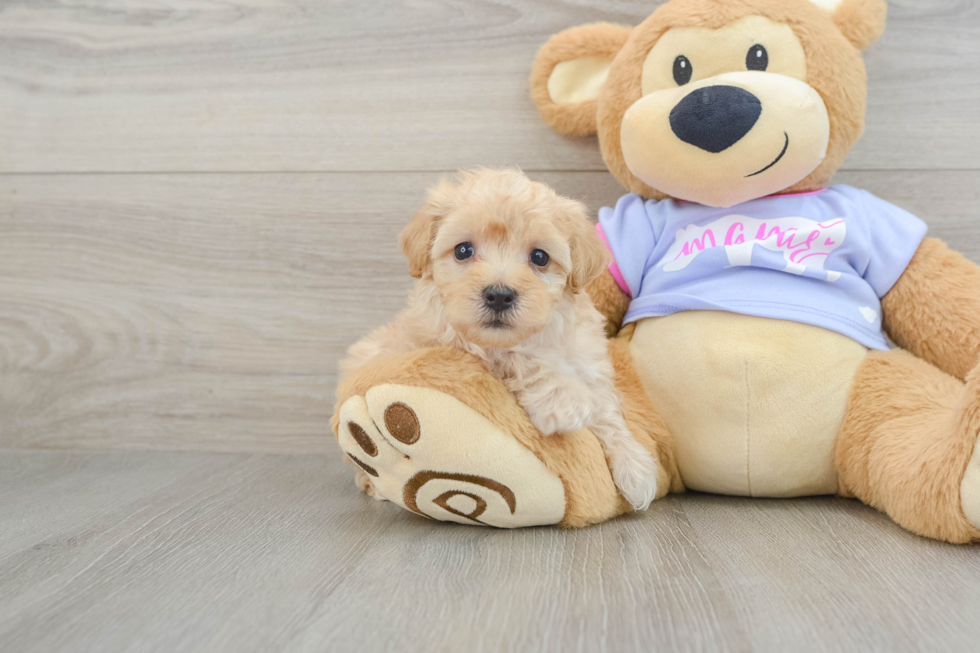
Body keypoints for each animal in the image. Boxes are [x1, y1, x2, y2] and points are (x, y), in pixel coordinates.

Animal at [342, 167, 660, 510]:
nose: (499, 295)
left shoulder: (587, 357)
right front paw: (563, 400)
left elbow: (606, 407)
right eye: (463, 250)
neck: (540, 334)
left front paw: (635, 467)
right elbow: (517, 357)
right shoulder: (453, 344)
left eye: (540, 257)